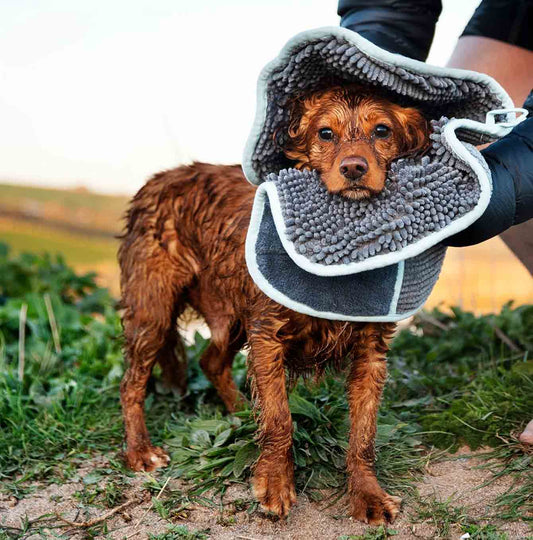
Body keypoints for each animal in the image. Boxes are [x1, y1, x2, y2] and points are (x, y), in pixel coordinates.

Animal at [118, 85, 428, 524]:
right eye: (325, 133)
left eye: (382, 130)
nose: (353, 168)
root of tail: (157, 179)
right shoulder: (268, 334)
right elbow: (281, 418)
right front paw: (275, 482)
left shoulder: (371, 353)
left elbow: (363, 435)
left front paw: (367, 494)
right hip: (154, 309)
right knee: (132, 382)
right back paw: (140, 451)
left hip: (231, 316)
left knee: (210, 362)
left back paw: (239, 411)